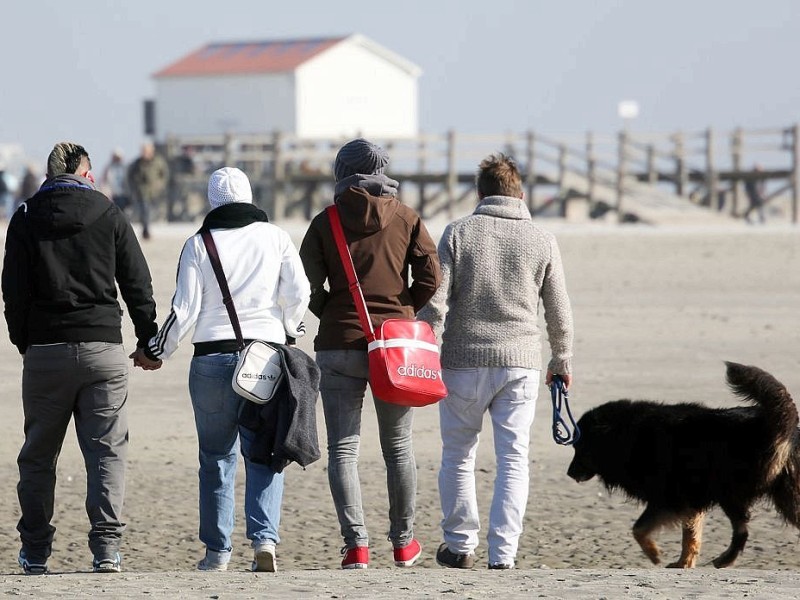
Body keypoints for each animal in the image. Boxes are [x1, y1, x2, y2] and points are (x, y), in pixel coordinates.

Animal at [564, 360, 796, 568]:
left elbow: (639, 529)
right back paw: (725, 559)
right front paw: (683, 563)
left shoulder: (669, 498)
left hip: (730, 492)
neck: (626, 434)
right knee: (745, 529)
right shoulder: (689, 501)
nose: (569, 473)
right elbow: (690, 536)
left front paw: (654, 553)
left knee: (741, 530)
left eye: (580, 448)